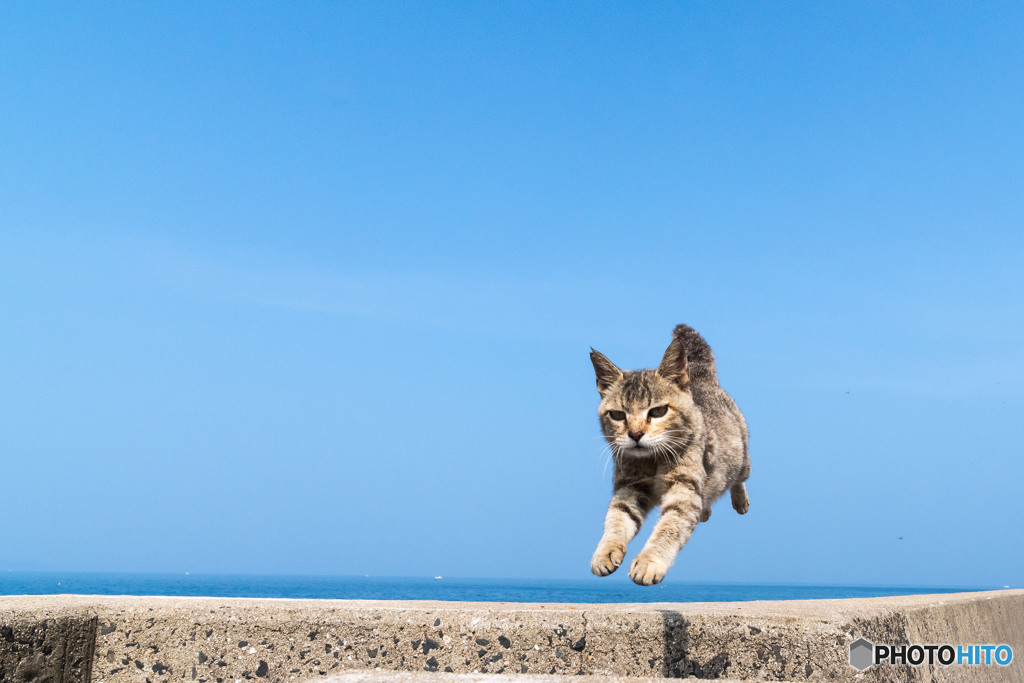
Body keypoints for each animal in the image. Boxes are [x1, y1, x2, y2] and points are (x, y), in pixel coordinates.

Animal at [589, 325, 749, 589]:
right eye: (617, 415)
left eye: (658, 411)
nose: (635, 434)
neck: (652, 460)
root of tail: (701, 379)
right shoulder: (630, 487)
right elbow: (617, 518)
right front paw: (605, 551)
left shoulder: (683, 489)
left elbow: (669, 527)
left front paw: (648, 562)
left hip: (742, 458)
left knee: (738, 478)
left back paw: (740, 501)